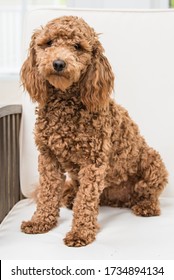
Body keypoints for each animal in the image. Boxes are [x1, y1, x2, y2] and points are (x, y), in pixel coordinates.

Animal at [20, 15, 167, 247]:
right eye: (49, 43)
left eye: (78, 47)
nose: (58, 63)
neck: (65, 103)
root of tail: (119, 200)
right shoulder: (48, 158)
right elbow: (47, 194)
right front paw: (40, 222)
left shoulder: (93, 162)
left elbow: (86, 201)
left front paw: (80, 233)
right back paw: (70, 197)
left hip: (153, 162)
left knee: (148, 193)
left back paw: (146, 206)